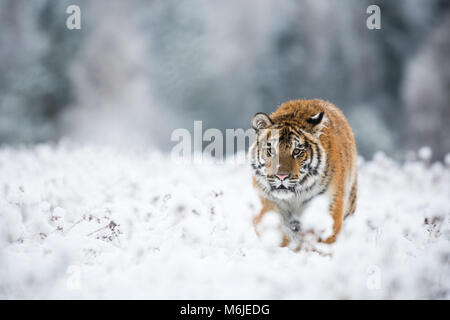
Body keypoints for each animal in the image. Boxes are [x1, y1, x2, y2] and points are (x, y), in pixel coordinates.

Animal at [248, 99, 356, 246]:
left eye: (297, 151)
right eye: (271, 150)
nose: (281, 176)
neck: (294, 198)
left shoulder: (328, 205)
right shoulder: (267, 200)